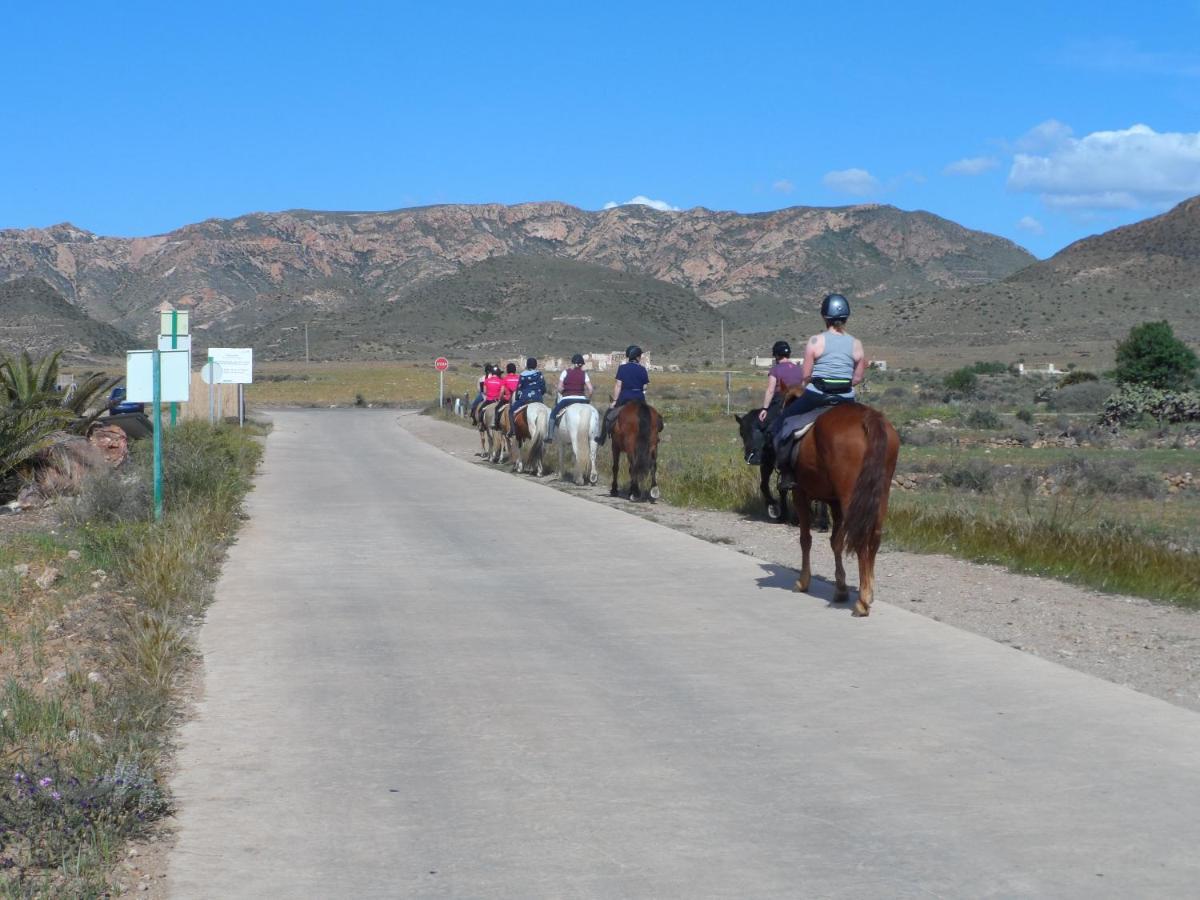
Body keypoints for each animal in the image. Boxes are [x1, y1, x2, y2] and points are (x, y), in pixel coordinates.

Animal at [734, 403, 897, 619]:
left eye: (742, 432)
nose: (751, 456)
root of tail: (868, 417)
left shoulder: (800, 494)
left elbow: (805, 539)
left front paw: (803, 581)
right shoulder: (834, 502)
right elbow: (836, 542)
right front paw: (841, 588)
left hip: (851, 497)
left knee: (861, 538)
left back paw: (862, 602)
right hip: (879, 495)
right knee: (874, 538)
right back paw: (868, 593)